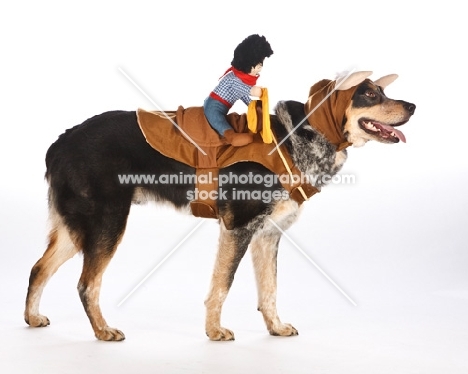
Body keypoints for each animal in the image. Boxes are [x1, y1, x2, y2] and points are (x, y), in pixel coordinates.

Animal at [23, 71, 414, 342]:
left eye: (381, 90)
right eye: (369, 93)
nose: (413, 106)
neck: (296, 140)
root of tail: (61, 141)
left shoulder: (268, 236)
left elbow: (269, 290)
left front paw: (275, 328)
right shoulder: (238, 228)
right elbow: (221, 286)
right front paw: (214, 332)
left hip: (77, 229)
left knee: (38, 269)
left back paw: (32, 318)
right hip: (106, 224)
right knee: (86, 284)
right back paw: (103, 331)